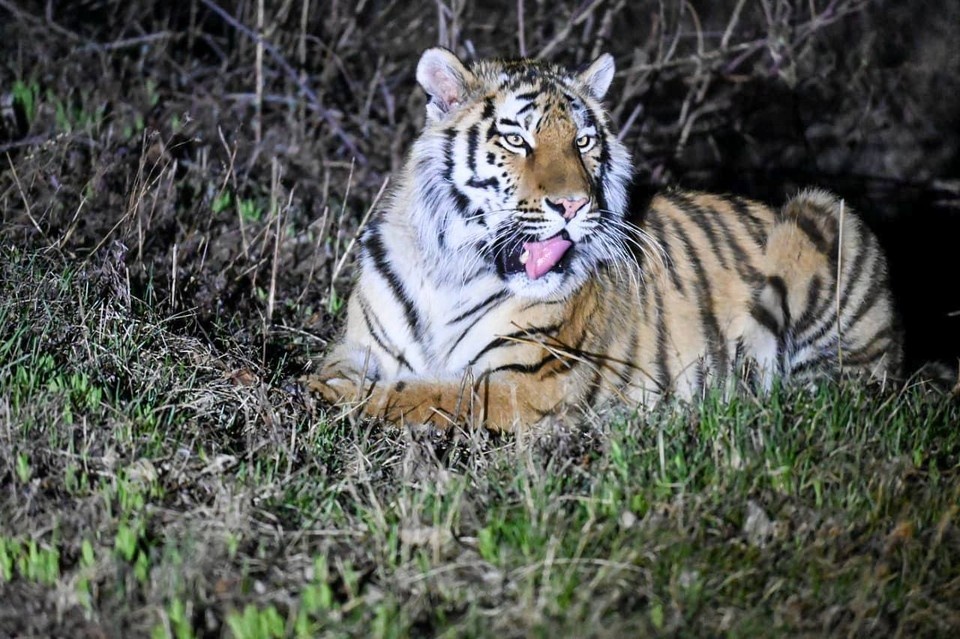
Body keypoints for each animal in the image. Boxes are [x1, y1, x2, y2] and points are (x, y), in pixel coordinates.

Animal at [306, 48, 900, 430]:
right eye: (517, 140)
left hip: (823, 211)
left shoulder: (526, 382)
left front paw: (329, 398)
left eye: (584, 141)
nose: (573, 205)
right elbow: (344, 372)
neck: (449, 269)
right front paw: (315, 386)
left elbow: (426, 395)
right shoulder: (357, 347)